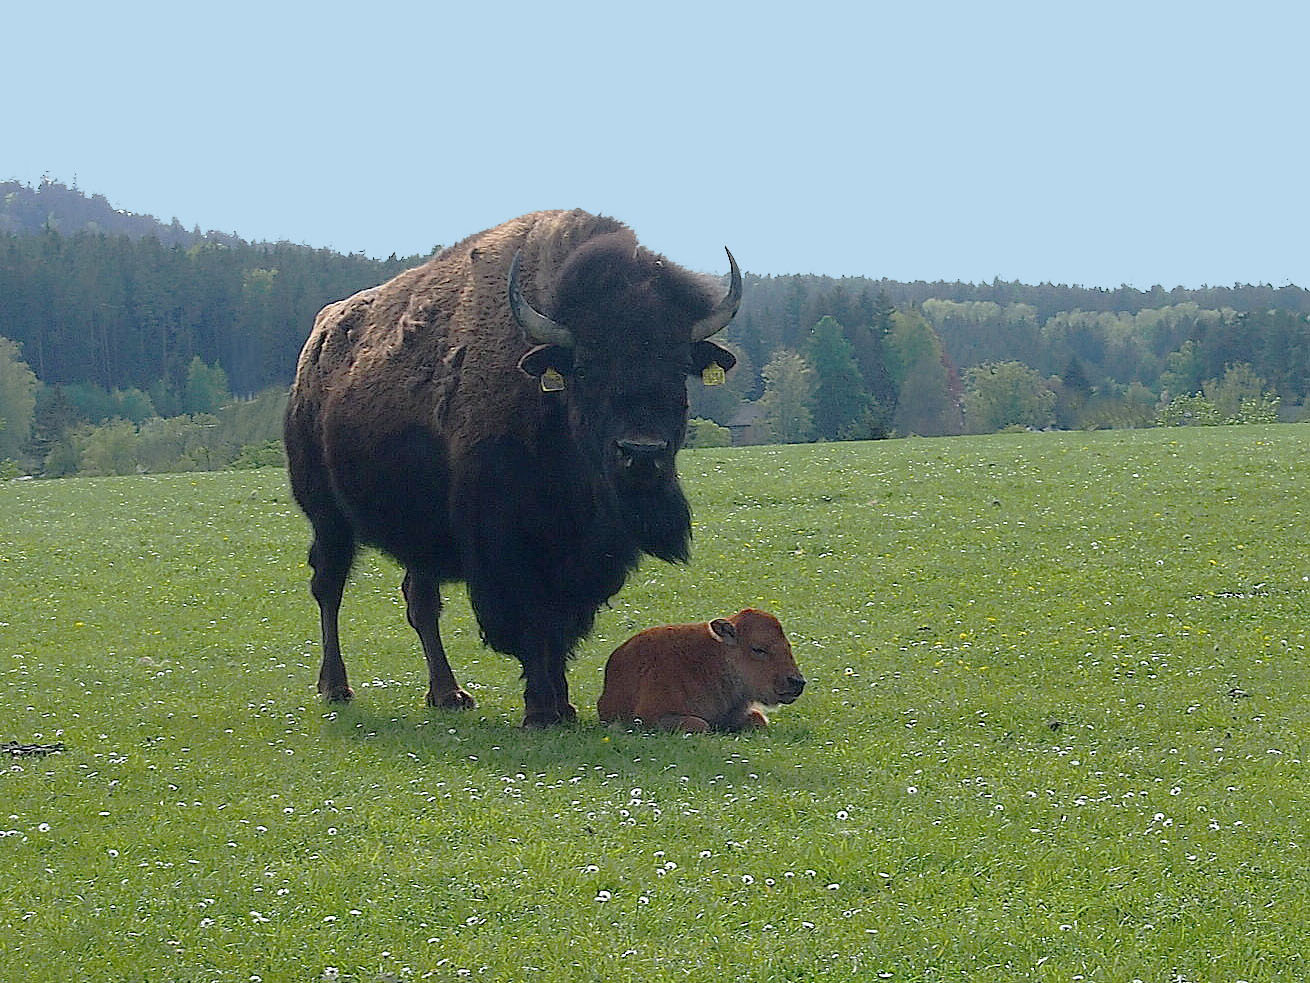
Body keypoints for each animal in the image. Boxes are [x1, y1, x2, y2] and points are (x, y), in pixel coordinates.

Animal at [282, 209, 744, 733]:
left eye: (679, 368)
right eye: (585, 367)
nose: (641, 453)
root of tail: (313, 349)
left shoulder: (583, 557)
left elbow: (560, 626)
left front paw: (562, 706)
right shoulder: (507, 546)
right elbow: (531, 624)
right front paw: (541, 709)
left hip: (420, 535)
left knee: (420, 602)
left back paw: (448, 694)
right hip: (327, 516)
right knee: (329, 586)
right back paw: (335, 686)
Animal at [599, 608, 801, 733]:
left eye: (788, 646)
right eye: (758, 649)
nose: (797, 682)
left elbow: (758, 719)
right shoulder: (650, 717)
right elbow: (700, 724)